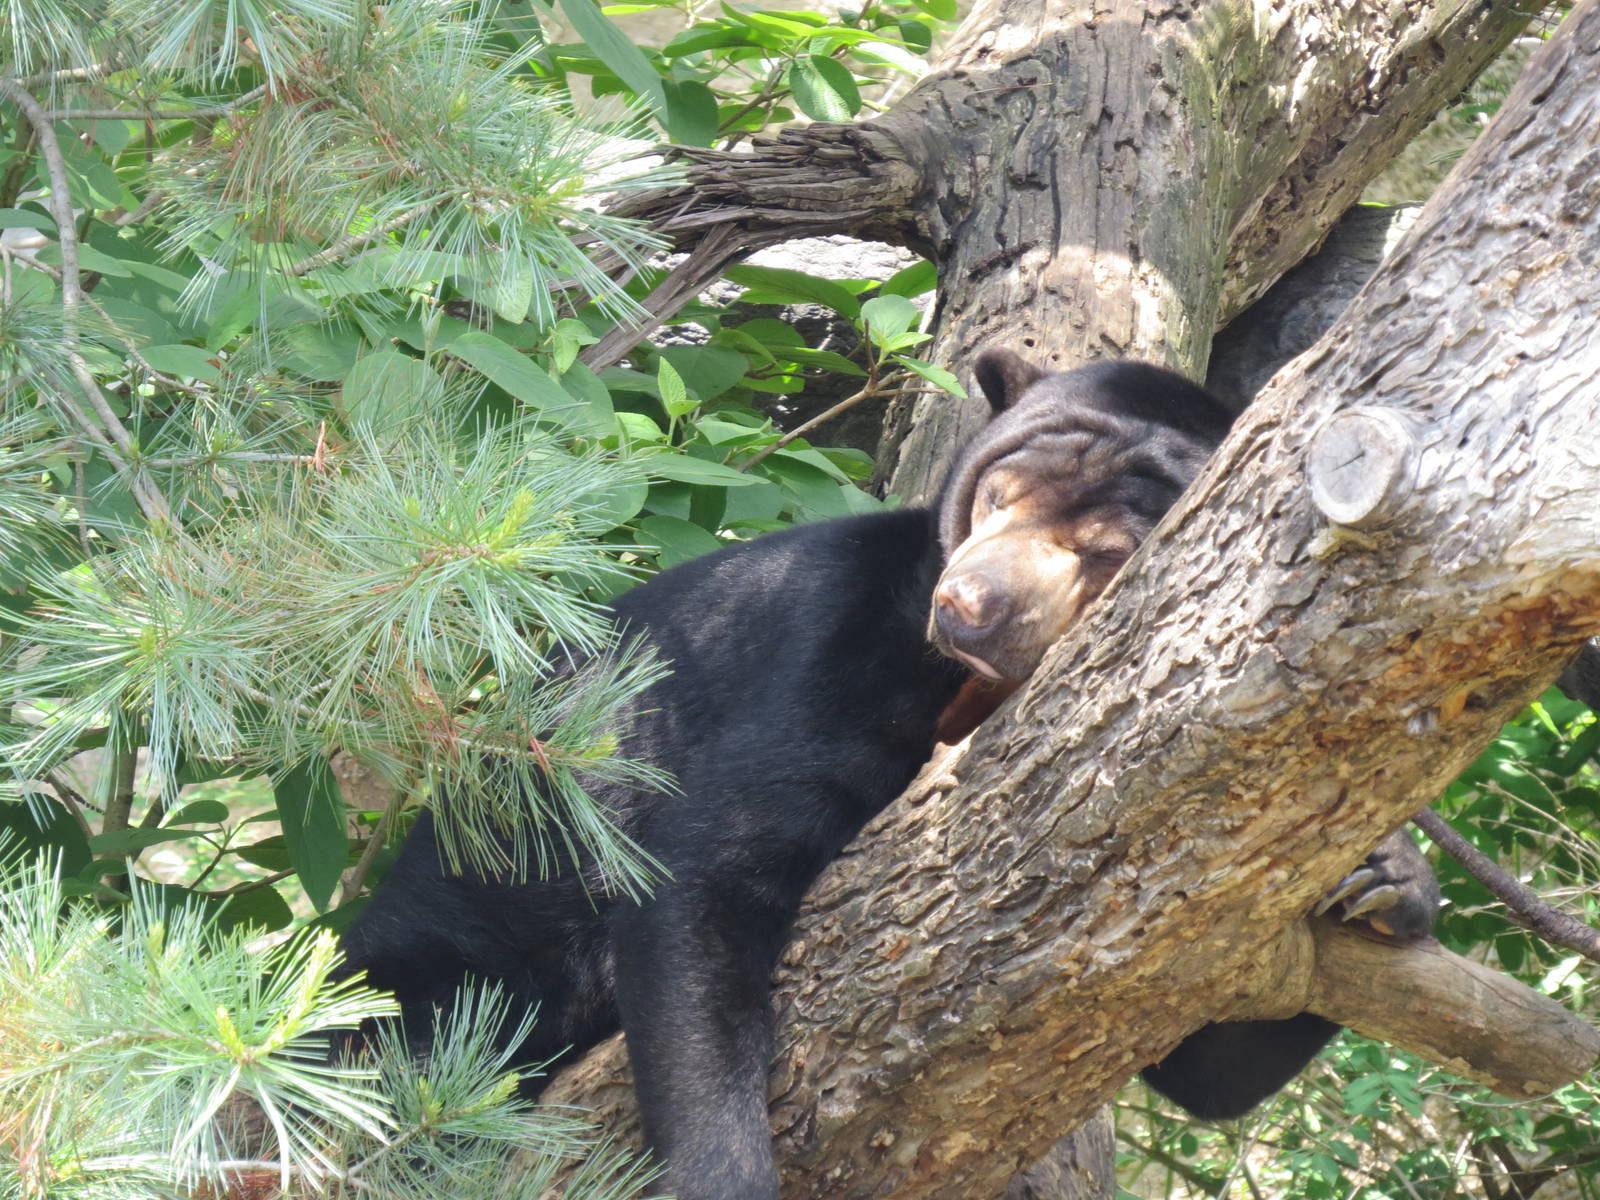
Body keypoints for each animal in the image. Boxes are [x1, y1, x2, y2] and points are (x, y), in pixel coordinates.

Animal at [339, 350, 1439, 1200]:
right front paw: (724, 1174)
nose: (969, 603)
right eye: (998, 493)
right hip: (457, 946)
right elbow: (707, 887)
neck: (976, 692)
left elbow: (1204, 1063)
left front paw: (1385, 880)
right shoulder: (834, 637)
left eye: (1104, 551)